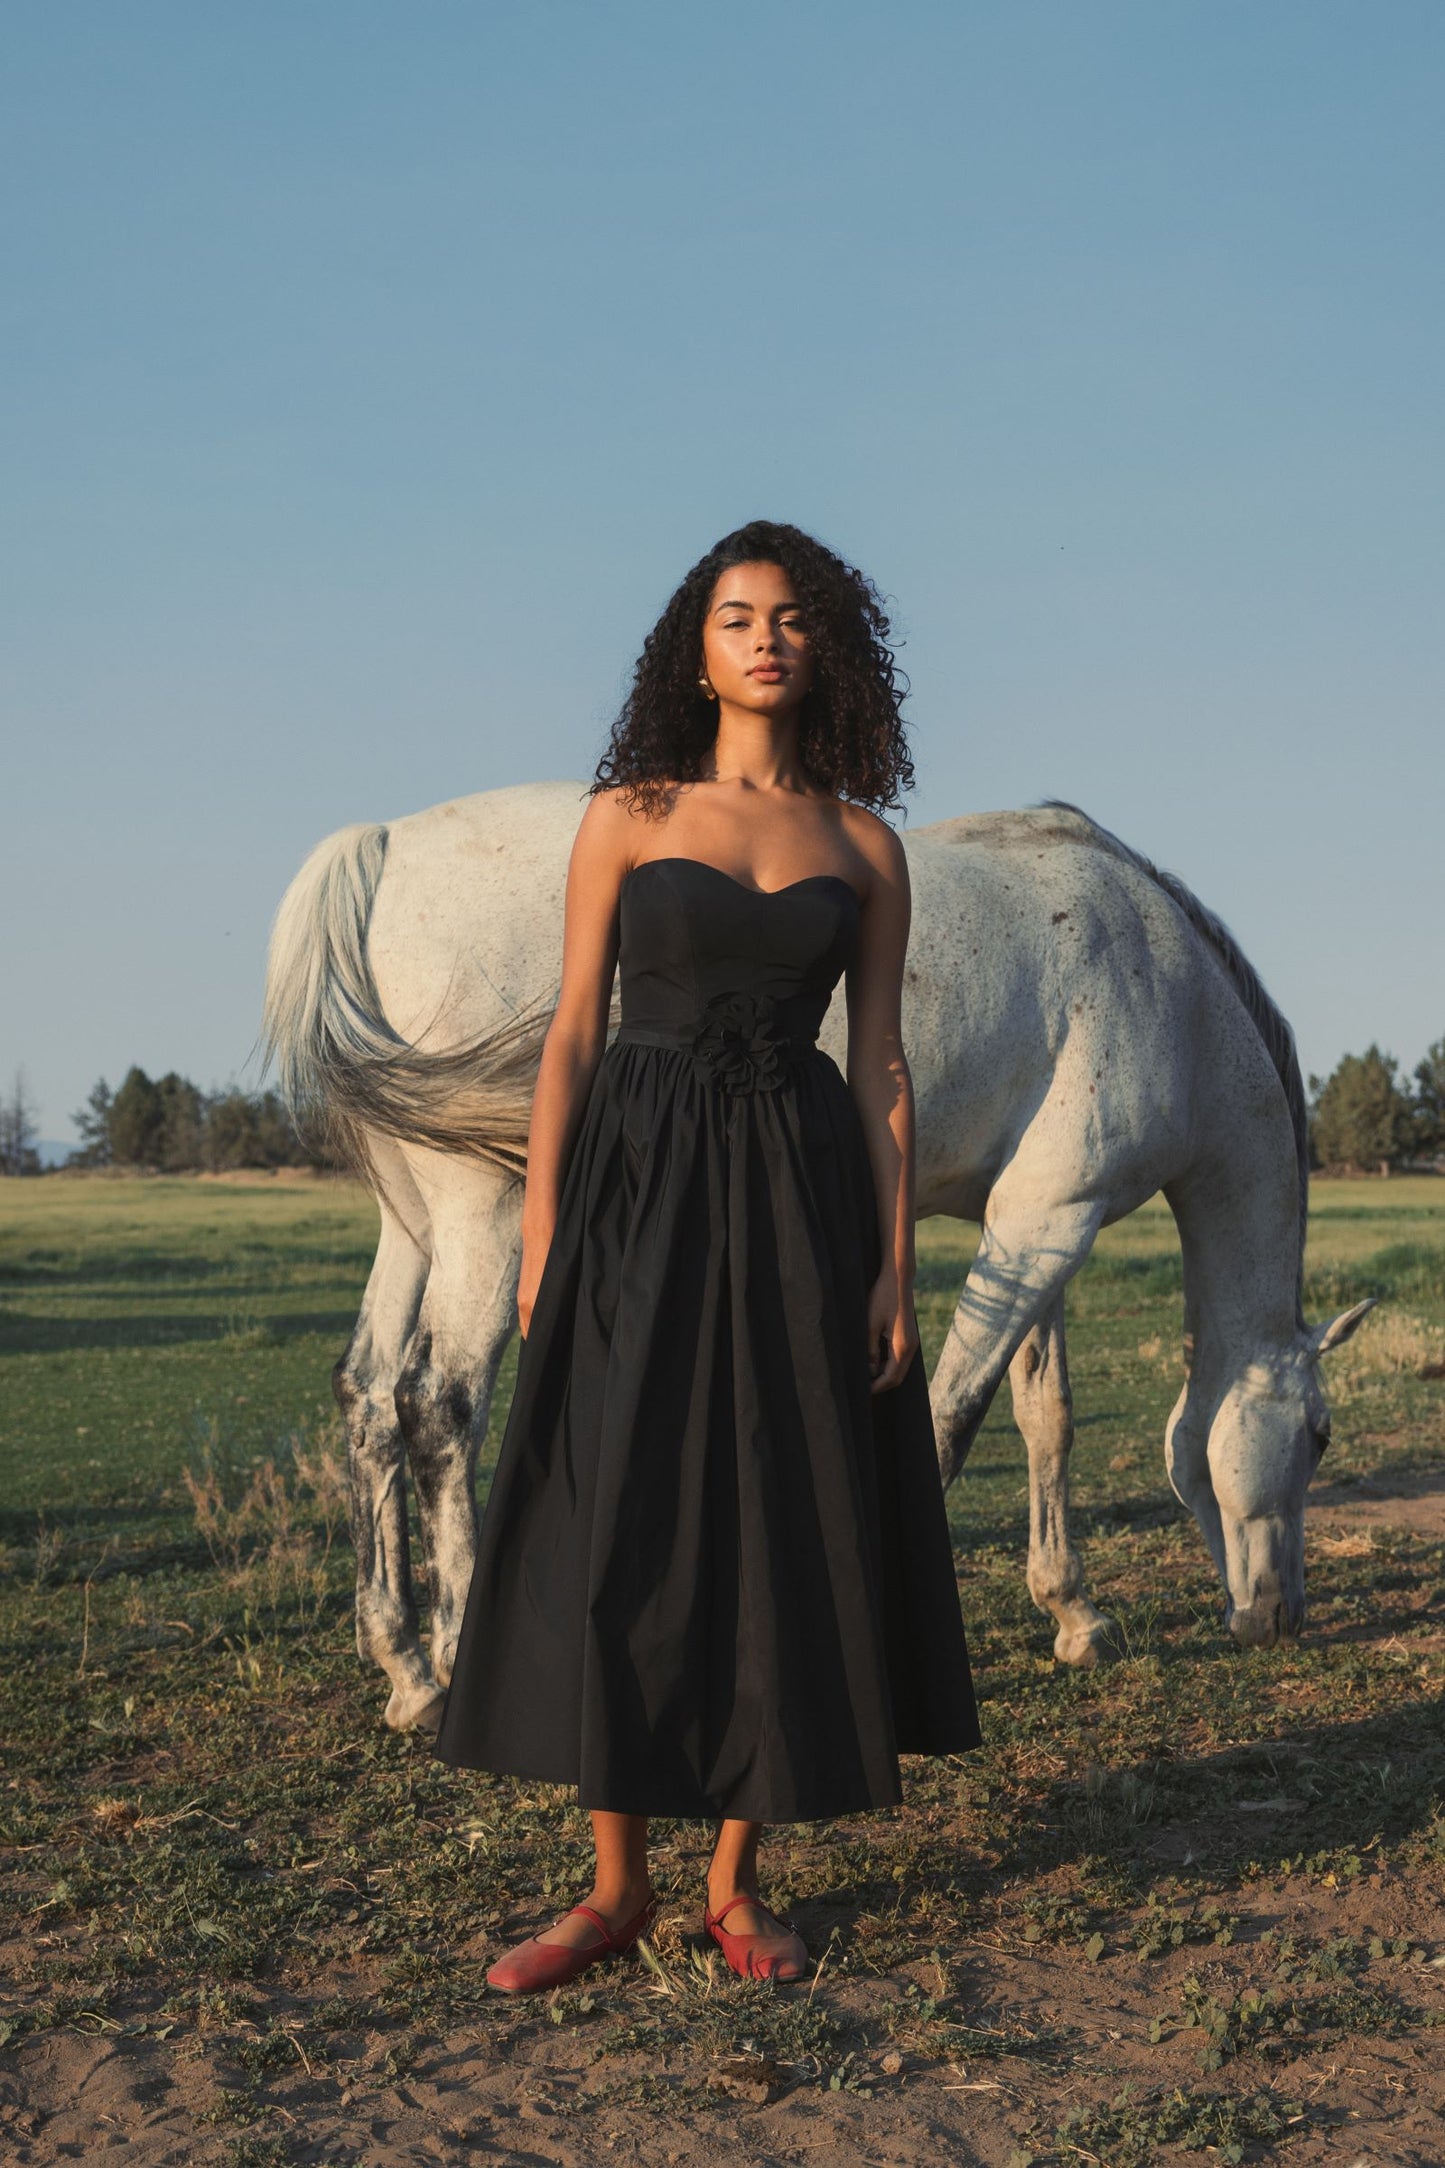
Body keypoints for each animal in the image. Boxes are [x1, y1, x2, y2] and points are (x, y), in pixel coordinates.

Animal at [263, 780, 1377, 1725]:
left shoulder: (1038, 1222)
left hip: (411, 1227)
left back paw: (403, 1667)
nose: (1279, 1617)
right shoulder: (1045, 1225)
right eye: (1320, 1435)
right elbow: (948, 1424)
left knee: (367, 1398)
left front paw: (1073, 1615)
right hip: (484, 1224)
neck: (1160, 979)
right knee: (438, 1408)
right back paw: (456, 1660)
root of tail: (387, 844)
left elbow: (1045, 1419)